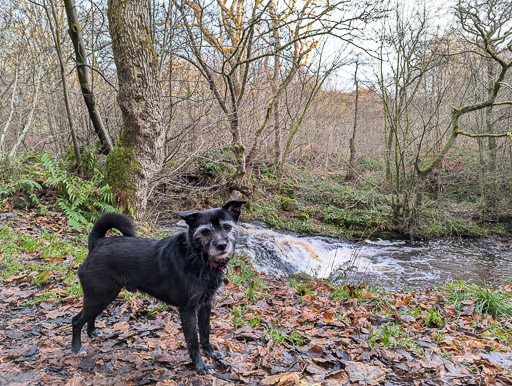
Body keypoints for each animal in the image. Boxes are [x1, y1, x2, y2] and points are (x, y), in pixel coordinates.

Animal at [71, 201, 246, 372]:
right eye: (204, 231)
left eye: (227, 227)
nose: (222, 245)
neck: (197, 257)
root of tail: (97, 243)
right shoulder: (187, 309)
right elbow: (193, 341)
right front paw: (200, 366)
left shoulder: (205, 305)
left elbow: (205, 332)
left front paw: (210, 352)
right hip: (100, 296)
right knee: (76, 320)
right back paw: (76, 348)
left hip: (103, 296)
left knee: (90, 316)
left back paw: (92, 332)